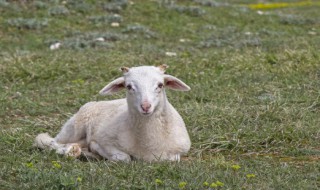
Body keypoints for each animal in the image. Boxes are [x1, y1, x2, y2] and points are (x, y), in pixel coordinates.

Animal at [34, 64, 191, 161]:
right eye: (129, 86)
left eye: (160, 85)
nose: (146, 106)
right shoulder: (105, 140)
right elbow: (124, 158)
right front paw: (96, 150)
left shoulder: (179, 151)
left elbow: (173, 158)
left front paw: (92, 153)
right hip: (74, 127)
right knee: (48, 141)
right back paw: (70, 150)